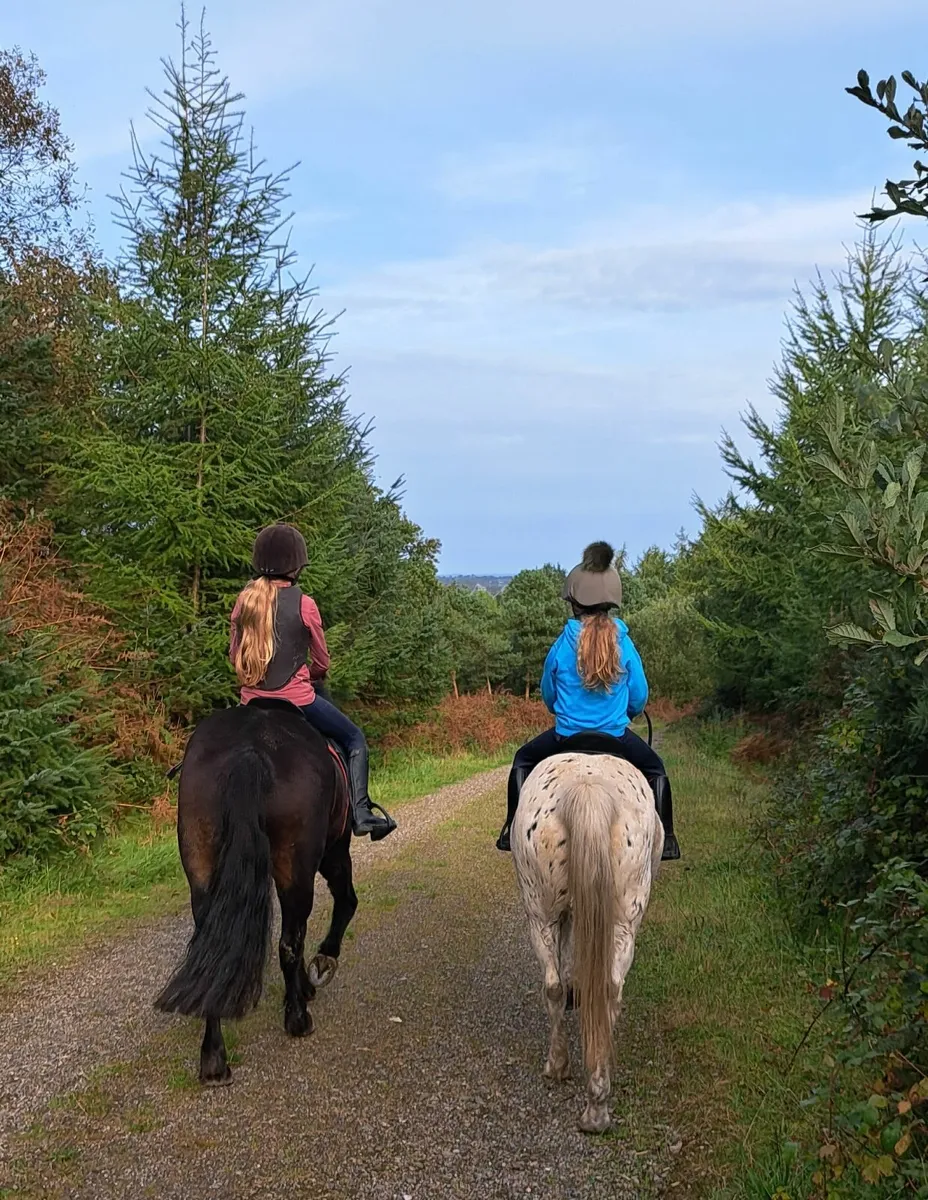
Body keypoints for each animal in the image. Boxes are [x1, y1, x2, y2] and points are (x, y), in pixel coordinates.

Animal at [155, 698, 357, 1084]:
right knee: (290, 941)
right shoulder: (334, 851)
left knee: (213, 951)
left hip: (203, 869)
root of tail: (249, 751)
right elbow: (345, 903)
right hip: (300, 866)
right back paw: (298, 1020)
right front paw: (322, 965)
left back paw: (213, 1060)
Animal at [511, 744, 663, 1133]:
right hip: (619, 920)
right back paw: (590, 1093)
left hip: (543, 913)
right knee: (605, 988)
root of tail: (588, 788)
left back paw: (578, 1082)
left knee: (559, 985)